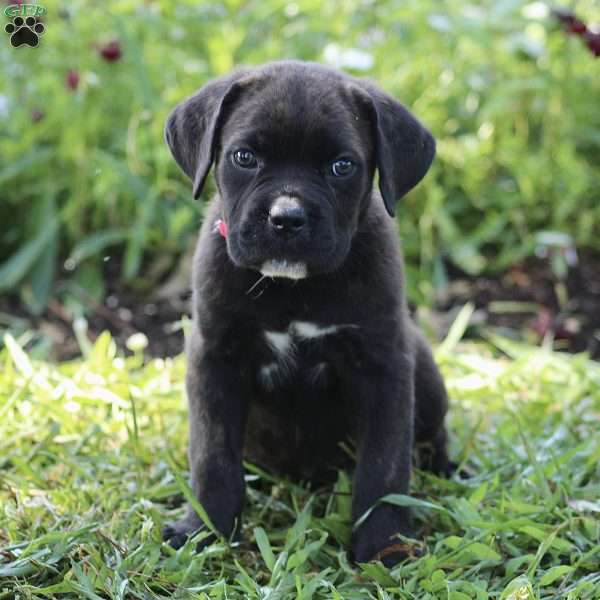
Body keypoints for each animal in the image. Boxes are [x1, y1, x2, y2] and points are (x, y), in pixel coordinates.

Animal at [162, 62, 448, 568]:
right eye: (244, 157)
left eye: (342, 166)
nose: (287, 218)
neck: (293, 289)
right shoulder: (216, 358)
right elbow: (213, 458)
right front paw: (203, 530)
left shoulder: (384, 366)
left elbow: (384, 467)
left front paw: (384, 546)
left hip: (425, 375)